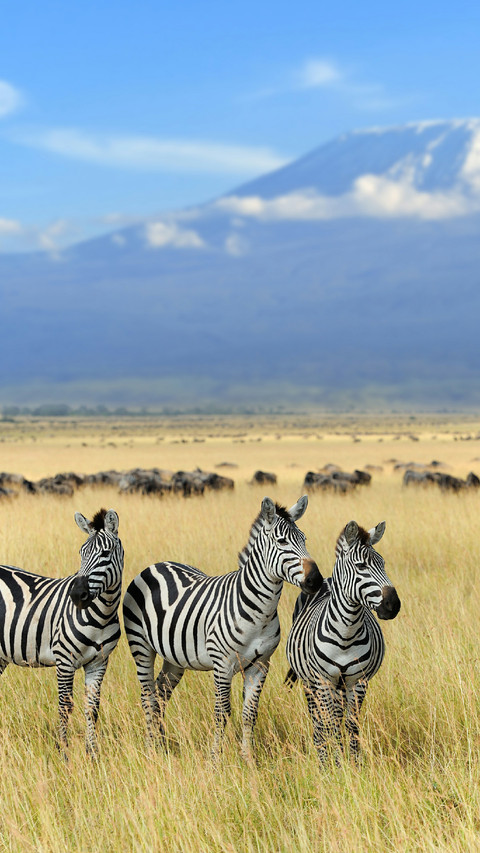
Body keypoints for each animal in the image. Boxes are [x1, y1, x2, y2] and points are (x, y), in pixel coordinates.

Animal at [0, 508, 124, 756]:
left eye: (106, 553)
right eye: (81, 553)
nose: (76, 595)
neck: (101, 615)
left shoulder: (99, 662)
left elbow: (92, 707)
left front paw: (92, 754)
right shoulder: (65, 660)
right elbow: (65, 706)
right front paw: (64, 753)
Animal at [123, 495, 322, 759]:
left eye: (304, 539)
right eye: (282, 541)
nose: (316, 580)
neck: (260, 611)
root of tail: (156, 564)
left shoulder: (260, 665)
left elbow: (249, 714)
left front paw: (248, 759)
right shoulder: (222, 665)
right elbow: (222, 712)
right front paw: (215, 759)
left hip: (174, 658)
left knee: (161, 692)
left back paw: (161, 745)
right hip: (141, 646)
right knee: (148, 696)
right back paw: (150, 749)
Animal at [285, 520, 400, 763]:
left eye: (383, 564)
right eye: (361, 566)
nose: (393, 605)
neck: (346, 633)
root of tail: (326, 580)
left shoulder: (358, 681)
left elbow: (351, 724)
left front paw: (354, 764)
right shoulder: (323, 681)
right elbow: (329, 724)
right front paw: (335, 764)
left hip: (340, 685)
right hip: (310, 683)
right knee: (318, 721)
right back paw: (322, 756)